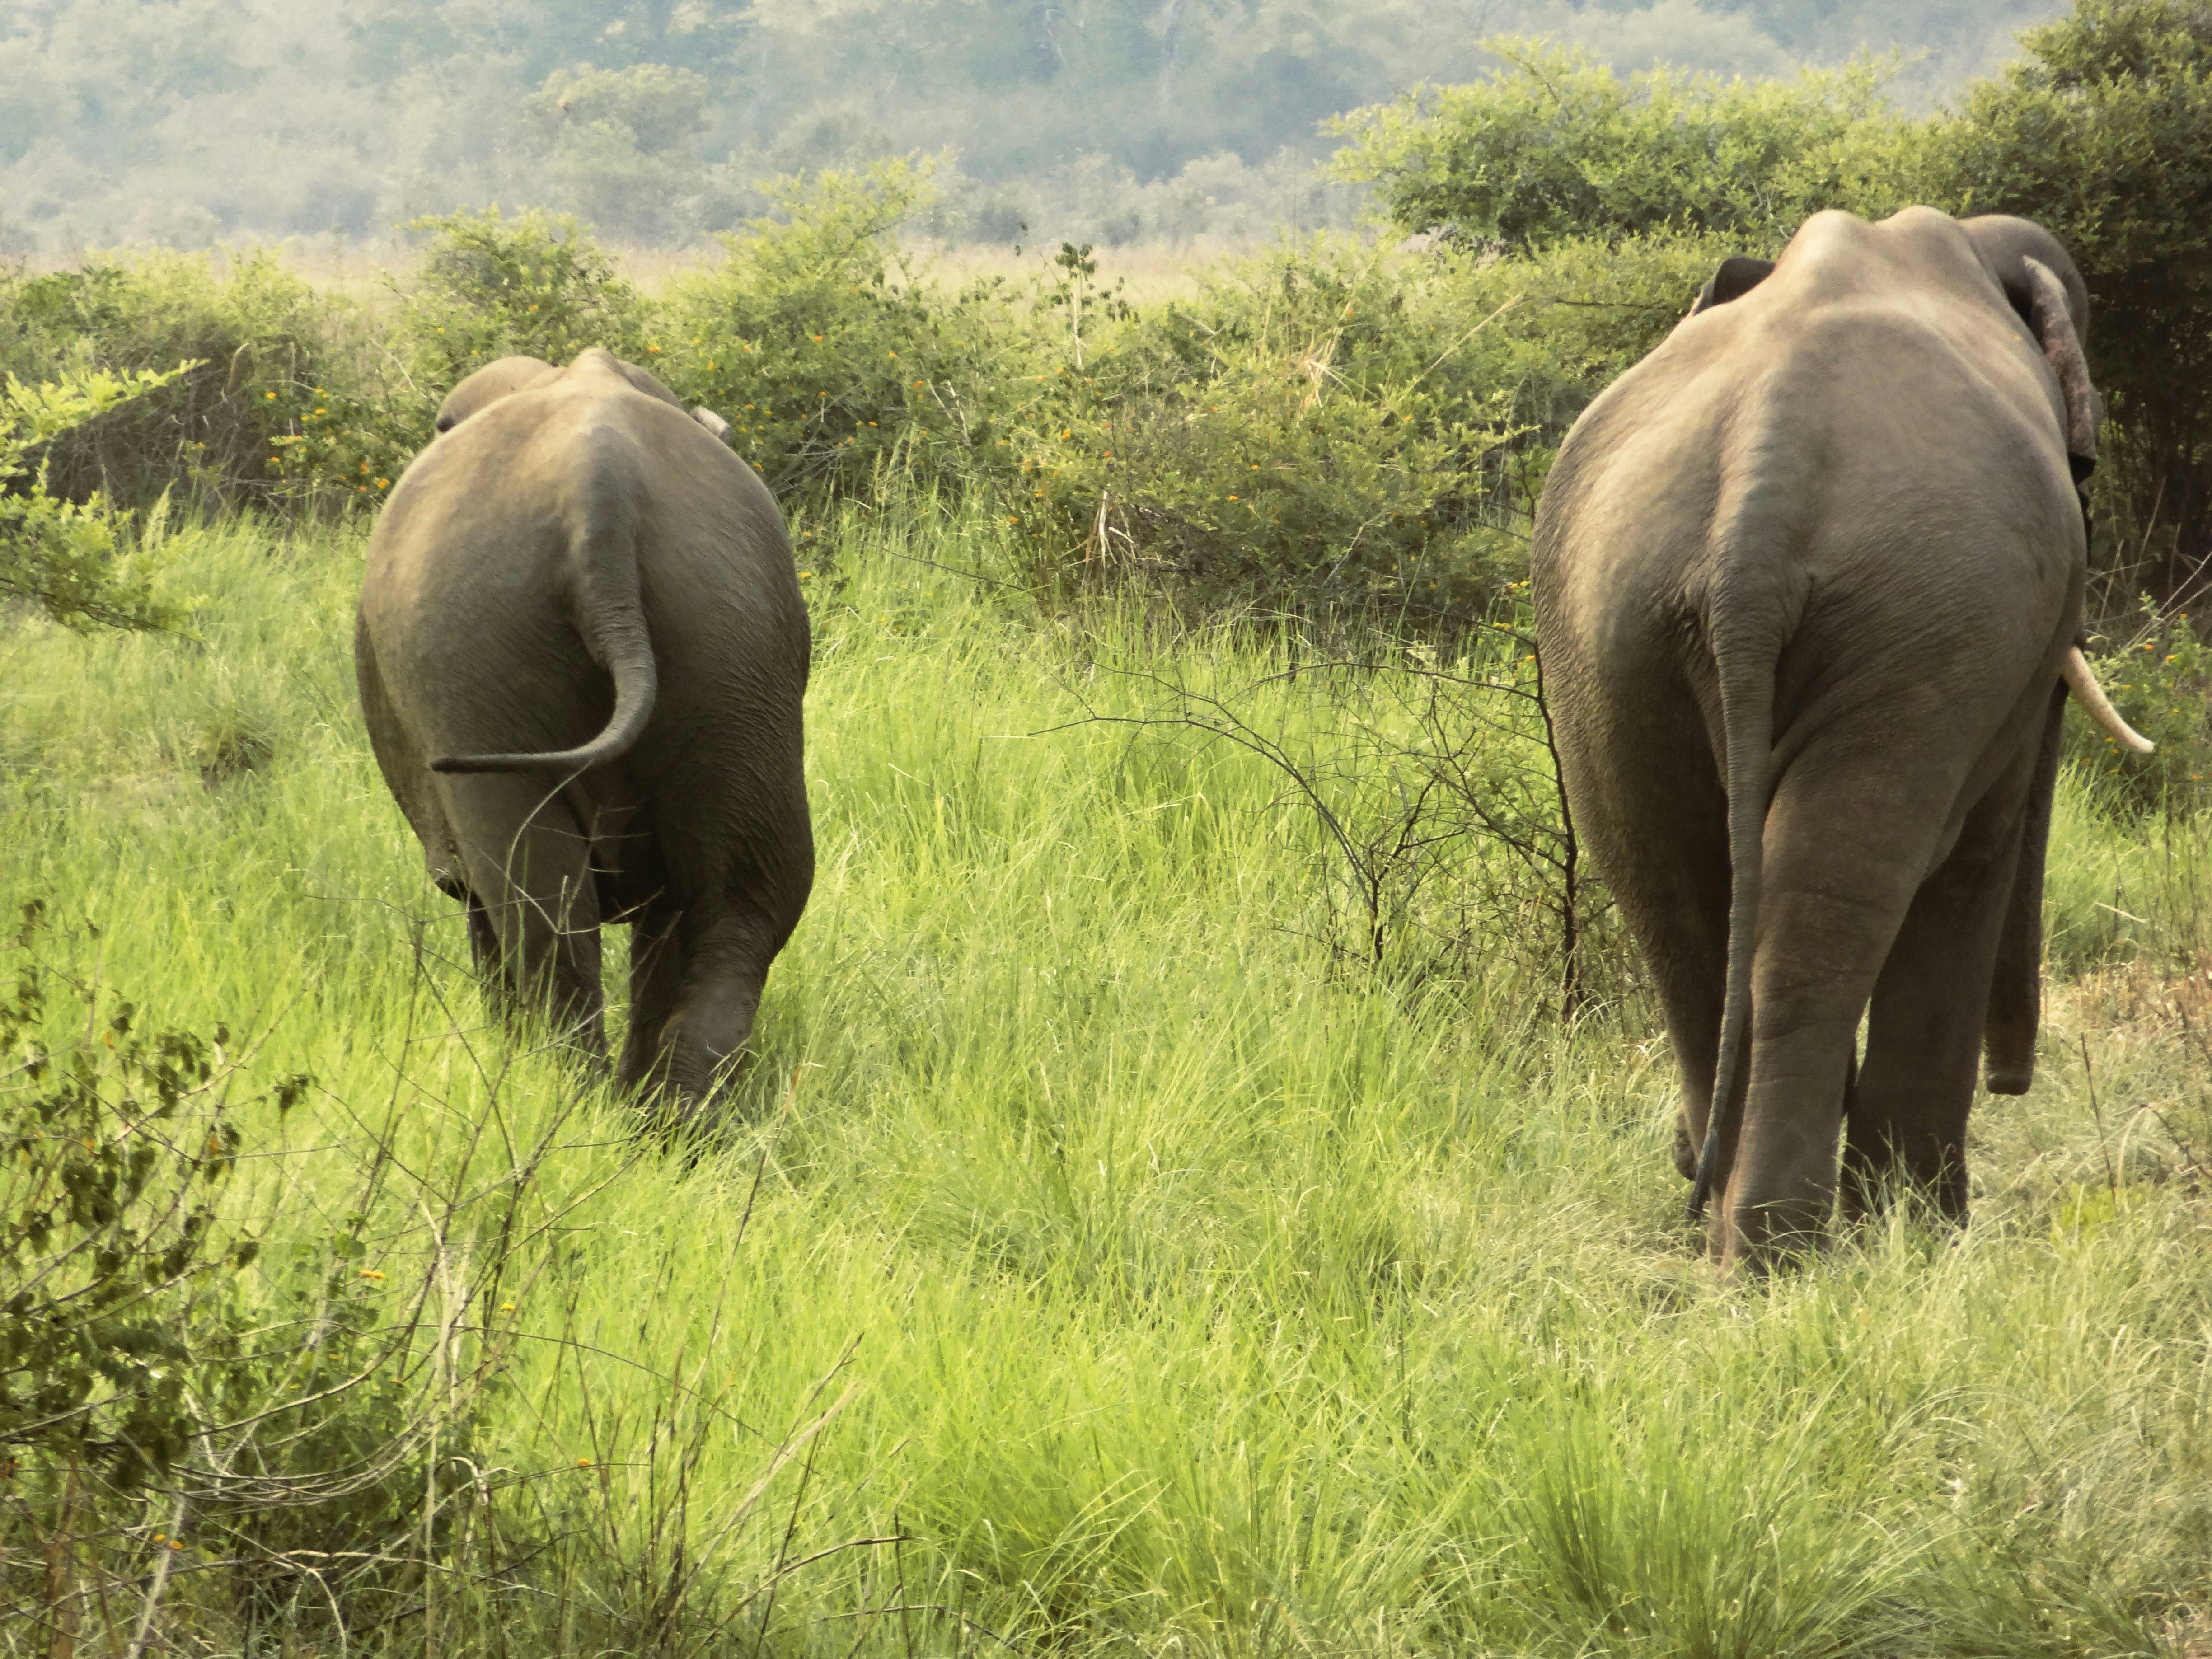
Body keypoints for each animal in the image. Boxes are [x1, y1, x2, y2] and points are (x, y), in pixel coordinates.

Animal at [355, 347, 813, 1113]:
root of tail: (601, 493)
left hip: (471, 651)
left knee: (538, 907)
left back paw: (565, 1098)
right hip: (738, 638)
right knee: (743, 906)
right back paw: (669, 1123)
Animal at [1531, 208, 2151, 1270]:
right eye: (2090, 464)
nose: (2016, 1078)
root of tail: (1759, 489)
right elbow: (1976, 856)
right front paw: (1927, 1233)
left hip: (1608, 617)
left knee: (1673, 894)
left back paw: (1723, 1223)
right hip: (1923, 618)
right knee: (1830, 900)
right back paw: (1785, 1249)